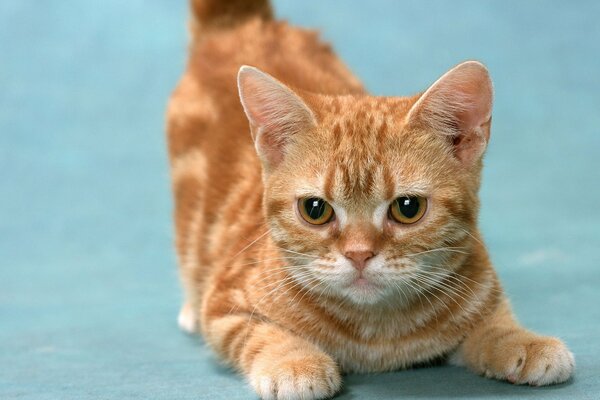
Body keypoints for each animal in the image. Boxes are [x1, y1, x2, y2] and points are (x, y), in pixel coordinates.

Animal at [166, 1, 576, 398]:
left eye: (408, 208)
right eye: (315, 210)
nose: (359, 254)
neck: (377, 333)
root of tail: (246, 24)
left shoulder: (481, 289)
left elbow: (493, 320)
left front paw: (522, 341)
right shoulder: (225, 303)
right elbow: (260, 333)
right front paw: (295, 362)